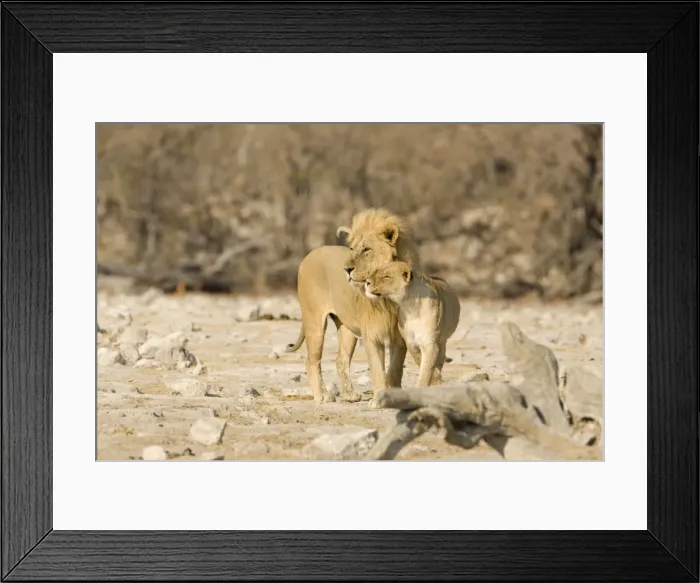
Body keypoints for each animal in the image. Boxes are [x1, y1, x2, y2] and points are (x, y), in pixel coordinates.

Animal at [285, 208, 418, 403]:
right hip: (315, 321)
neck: (386, 297)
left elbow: (395, 369)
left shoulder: (399, 337)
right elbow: (378, 370)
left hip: (347, 329)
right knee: (312, 361)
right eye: (353, 249)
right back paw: (322, 395)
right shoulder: (371, 335)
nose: (346, 269)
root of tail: (310, 253)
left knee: (341, 359)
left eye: (367, 249)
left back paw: (349, 394)